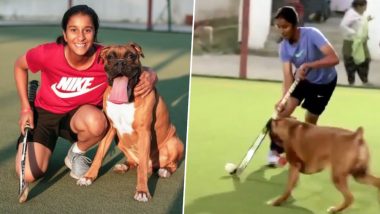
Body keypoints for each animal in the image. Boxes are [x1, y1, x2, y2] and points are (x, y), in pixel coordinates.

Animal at [77, 42, 184, 202]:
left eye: (131, 56)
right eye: (110, 57)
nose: (120, 62)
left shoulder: (144, 132)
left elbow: (142, 169)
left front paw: (142, 191)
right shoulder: (110, 129)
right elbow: (99, 155)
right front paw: (88, 177)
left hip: (174, 143)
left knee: (168, 164)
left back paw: (165, 170)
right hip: (120, 140)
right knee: (135, 162)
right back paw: (124, 166)